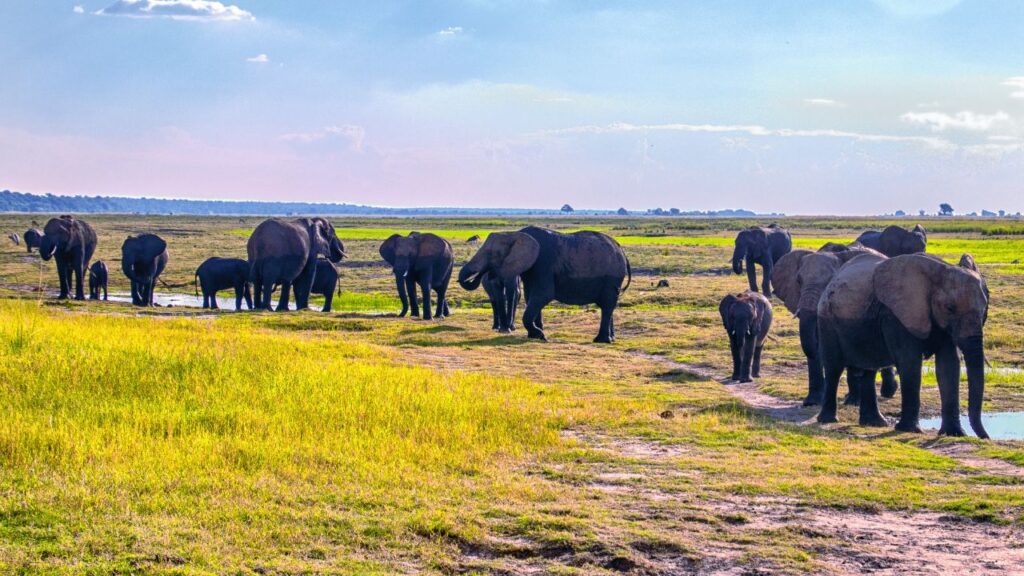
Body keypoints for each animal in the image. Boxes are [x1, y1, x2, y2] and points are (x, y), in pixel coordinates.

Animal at [458, 227, 631, 343]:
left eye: (492, 254)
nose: (483, 274)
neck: (514, 233)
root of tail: (621, 249)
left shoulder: (543, 264)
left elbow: (542, 295)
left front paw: (540, 335)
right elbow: (530, 297)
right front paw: (536, 334)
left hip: (613, 276)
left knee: (607, 304)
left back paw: (601, 340)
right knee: (608, 305)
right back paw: (611, 339)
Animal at [817, 253, 990, 438]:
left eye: (984, 310)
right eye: (950, 308)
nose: (985, 438)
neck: (939, 271)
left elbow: (948, 366)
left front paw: (954, 434)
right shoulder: (896, 316)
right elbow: (910, 364)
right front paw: (910, 430)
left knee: (869, 370)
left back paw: (875, 423)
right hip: (827, 320)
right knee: (834, 368)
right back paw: (828, 420)